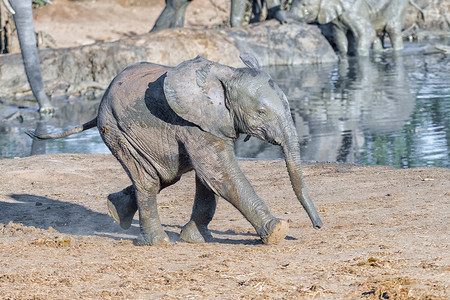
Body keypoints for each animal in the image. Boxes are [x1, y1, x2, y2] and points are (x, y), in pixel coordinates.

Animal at [29, 54, 324, 246]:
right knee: (148, 180)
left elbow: (208, 178)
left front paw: (195, 238)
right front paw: (277, 232)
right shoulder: (193, 122)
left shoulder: (211, 123)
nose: (318, 226)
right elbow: (218, 172)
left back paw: (115, 211)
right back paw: (157, 242)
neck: (226, 74)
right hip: (118, 130)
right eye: (261, 112)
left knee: (164, 176)